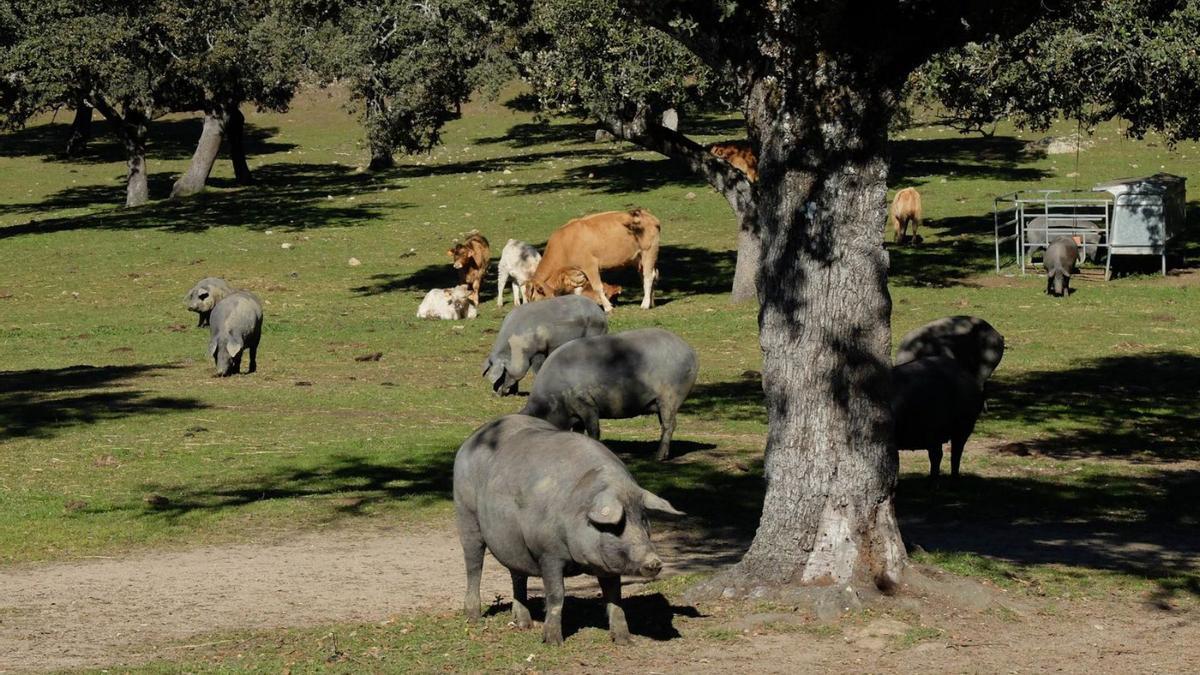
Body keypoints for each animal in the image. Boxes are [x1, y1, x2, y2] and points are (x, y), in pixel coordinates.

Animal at [453, 413, 686, 643]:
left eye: (643, 519)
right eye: (617, 525)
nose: (654, 561)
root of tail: (472, 438)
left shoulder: (607, 563)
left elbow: (614, 596)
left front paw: (624, 640)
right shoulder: (548, 553)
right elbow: (556, 595)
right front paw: (553, 642)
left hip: (512, 543)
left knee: (517, 574)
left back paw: (524, 624)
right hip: (466, 515)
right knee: (474, 565)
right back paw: (473, 617)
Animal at [520, 326, 700, 461]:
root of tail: (691, 353)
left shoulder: (586, 403)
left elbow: (594, 429)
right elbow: (579, 431)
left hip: (671, 396)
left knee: (670, 424)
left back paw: (657, 457)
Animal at [530, 206, 662, 312]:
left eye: (535, 298)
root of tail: (648, 215)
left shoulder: (590, 265)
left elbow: (598, 287)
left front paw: (608, 307)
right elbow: (578, 291)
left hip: (649, 251)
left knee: (648, 277)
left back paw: (645, 304)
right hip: (638, 258)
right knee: (650, 276)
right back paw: (651, 302)